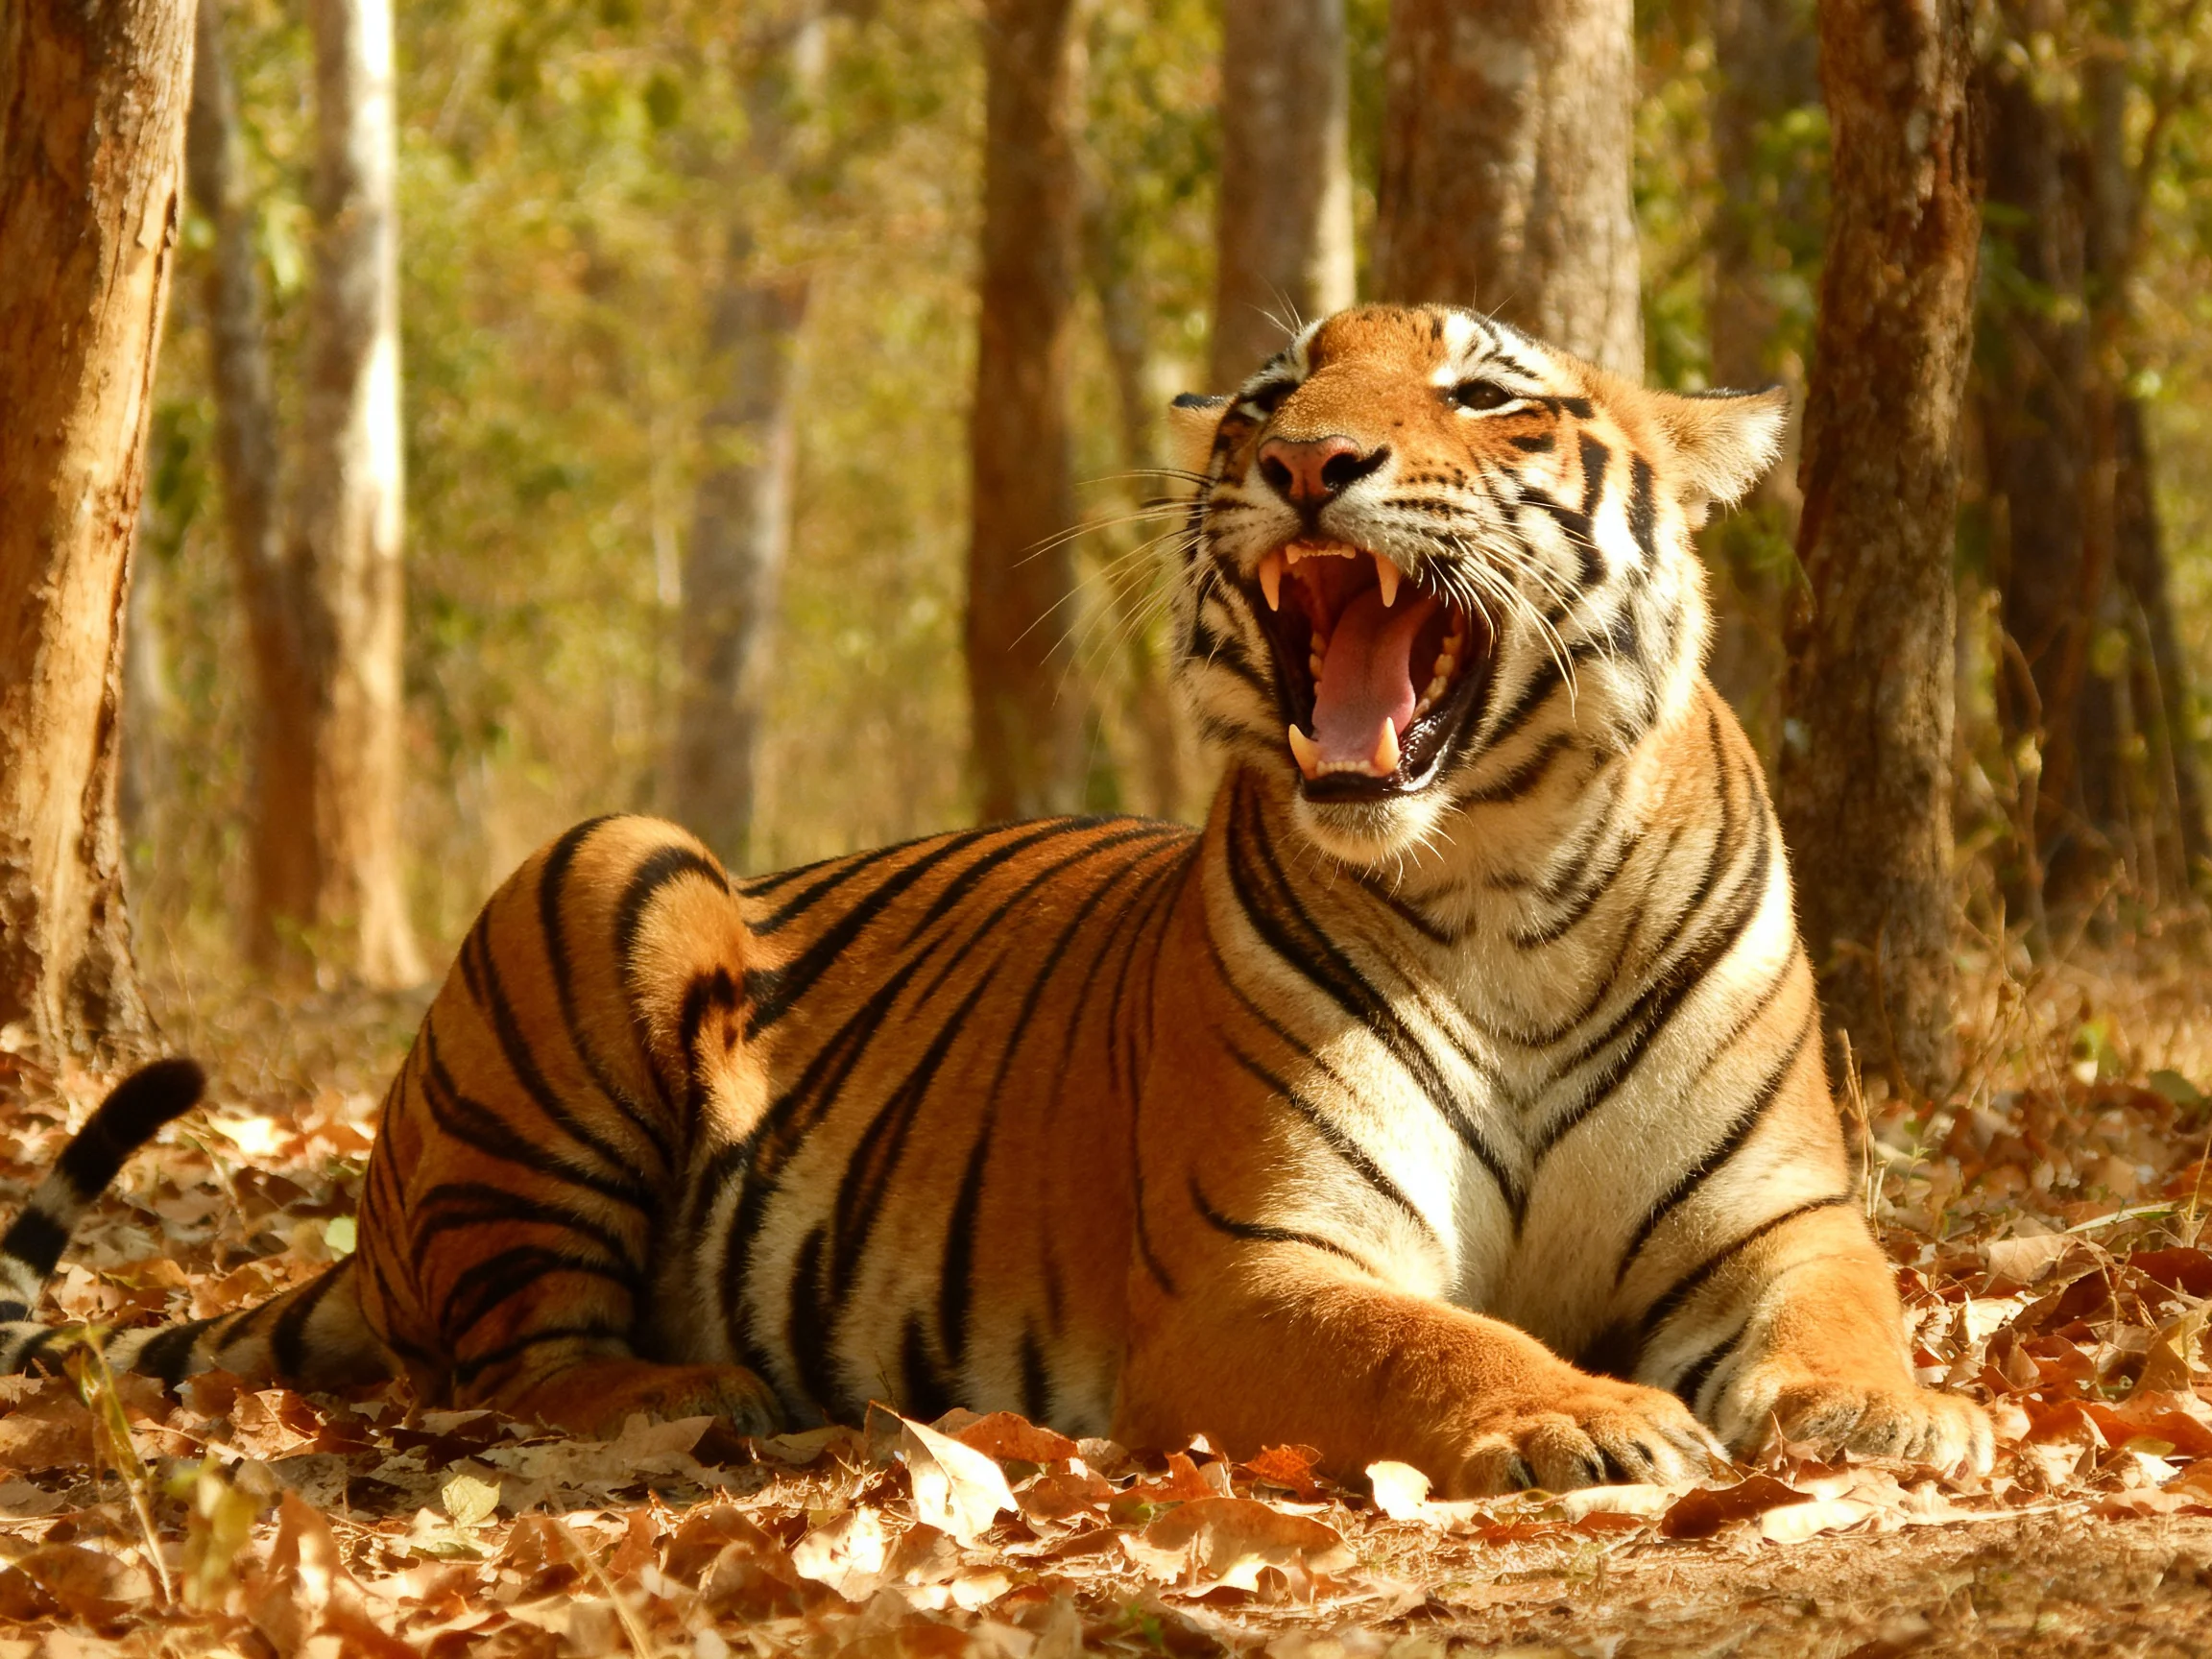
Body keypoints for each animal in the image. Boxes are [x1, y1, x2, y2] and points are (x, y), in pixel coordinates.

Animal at [1, 304, 1990, 1495]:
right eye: (1272, 396)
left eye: (1484, 394)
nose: (1300, 461)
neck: (1500, 886)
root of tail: (380, 1220)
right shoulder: (1261, 1264)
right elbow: (1423, 1332)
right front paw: (1577, 1411)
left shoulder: (1772, 1217)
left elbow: (1847, 1309)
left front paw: (1893, 1409)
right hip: (606, 870)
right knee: (510, 1360)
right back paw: (690, 1396)